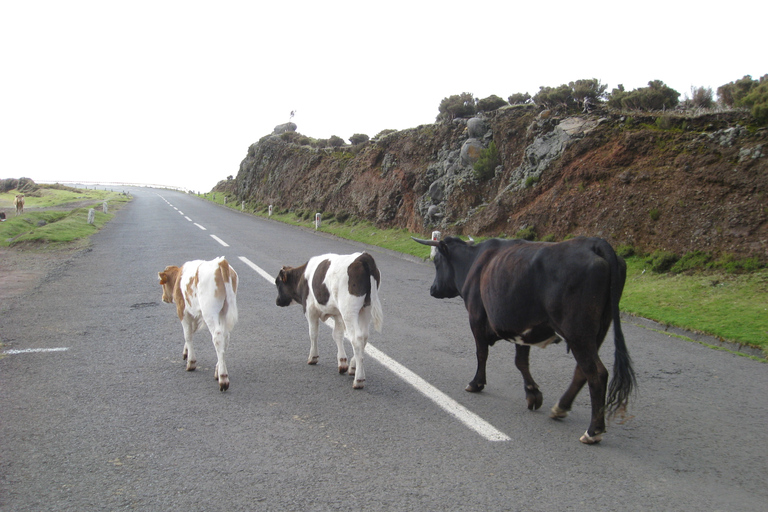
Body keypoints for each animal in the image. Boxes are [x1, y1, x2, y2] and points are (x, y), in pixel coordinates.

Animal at [158, 258, 238, 390]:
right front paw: (186, 352)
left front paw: (191, 362)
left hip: (209, 312)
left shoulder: (183, 311)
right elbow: (192, 330)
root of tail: (220, 262)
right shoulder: (196, 314)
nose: (163, 298)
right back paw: (218, 370)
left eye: (163, 284)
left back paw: (223, 377)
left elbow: (187, 335)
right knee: (225, 337)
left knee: (217, 338)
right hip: (223, 311)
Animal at [276, 251, 384, 388]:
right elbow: (337, 335)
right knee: (364, 336)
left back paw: (359, 379)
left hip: (349, 311)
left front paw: (313, 357)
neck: (303, 277)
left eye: (277, 283)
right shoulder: (337, 314)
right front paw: (342, 362)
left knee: (357, 338)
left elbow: (313, 333)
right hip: (366, 308)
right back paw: (353, 367)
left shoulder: (310, 310)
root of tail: (363, 257)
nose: (277, 301)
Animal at [414, 236, 636, 444]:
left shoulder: (476, 317)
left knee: (597, 373)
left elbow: (481, 353)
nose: (433, 289)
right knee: (582, 371)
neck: (473, 261)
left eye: (437, 261)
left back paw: (593, 431)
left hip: (577, 333)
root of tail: (593, 242)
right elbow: (521, 362)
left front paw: (476, 383)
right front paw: (532, 393)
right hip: (597, 330)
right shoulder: (522, 329)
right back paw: (561, 407)